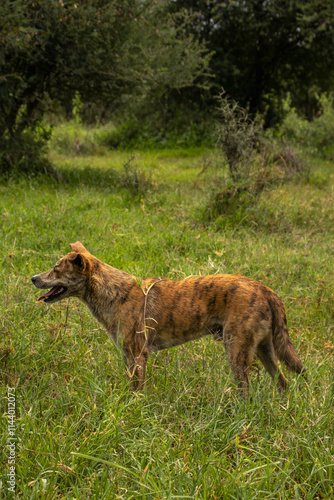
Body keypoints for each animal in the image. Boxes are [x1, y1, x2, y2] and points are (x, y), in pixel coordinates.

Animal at [32, 242, 308, 394]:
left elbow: (136, 391)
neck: (114, 292)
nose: (33, 278)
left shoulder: (137, 355)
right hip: (265, 349)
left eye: (56, 269)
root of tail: (265, 289)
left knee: (248, 392)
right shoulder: (129, 356)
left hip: (237, 351)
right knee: (283, 382)